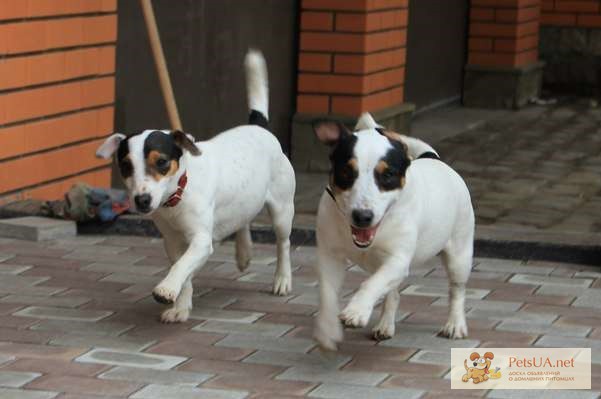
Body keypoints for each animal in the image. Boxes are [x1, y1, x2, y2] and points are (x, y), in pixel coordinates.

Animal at [95, 50, 294, 324]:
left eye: (161, 162)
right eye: (125, 166)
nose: (141, 200)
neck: (179, 192)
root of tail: (259, 127)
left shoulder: (200, 240)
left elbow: (182, 266)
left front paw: (166, 289)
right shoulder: (172, 241)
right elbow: (184, 272)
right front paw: (180, 306)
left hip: (282, 210)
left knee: (283, 243)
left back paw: (282, 280)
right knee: (243, 220)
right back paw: (244, 252)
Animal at [310, 112, 474, 350]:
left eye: (387, 175)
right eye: (346, 172)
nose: (362, 216)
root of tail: (434, 158)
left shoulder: (398, 259)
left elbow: (372, 283)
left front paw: (356, 311)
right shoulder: (329, 255)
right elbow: (328, 293)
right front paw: (328, 329)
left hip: (460, 253)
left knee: (457, 290)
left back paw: (455, 324)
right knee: (392, 293)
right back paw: (385, 325)